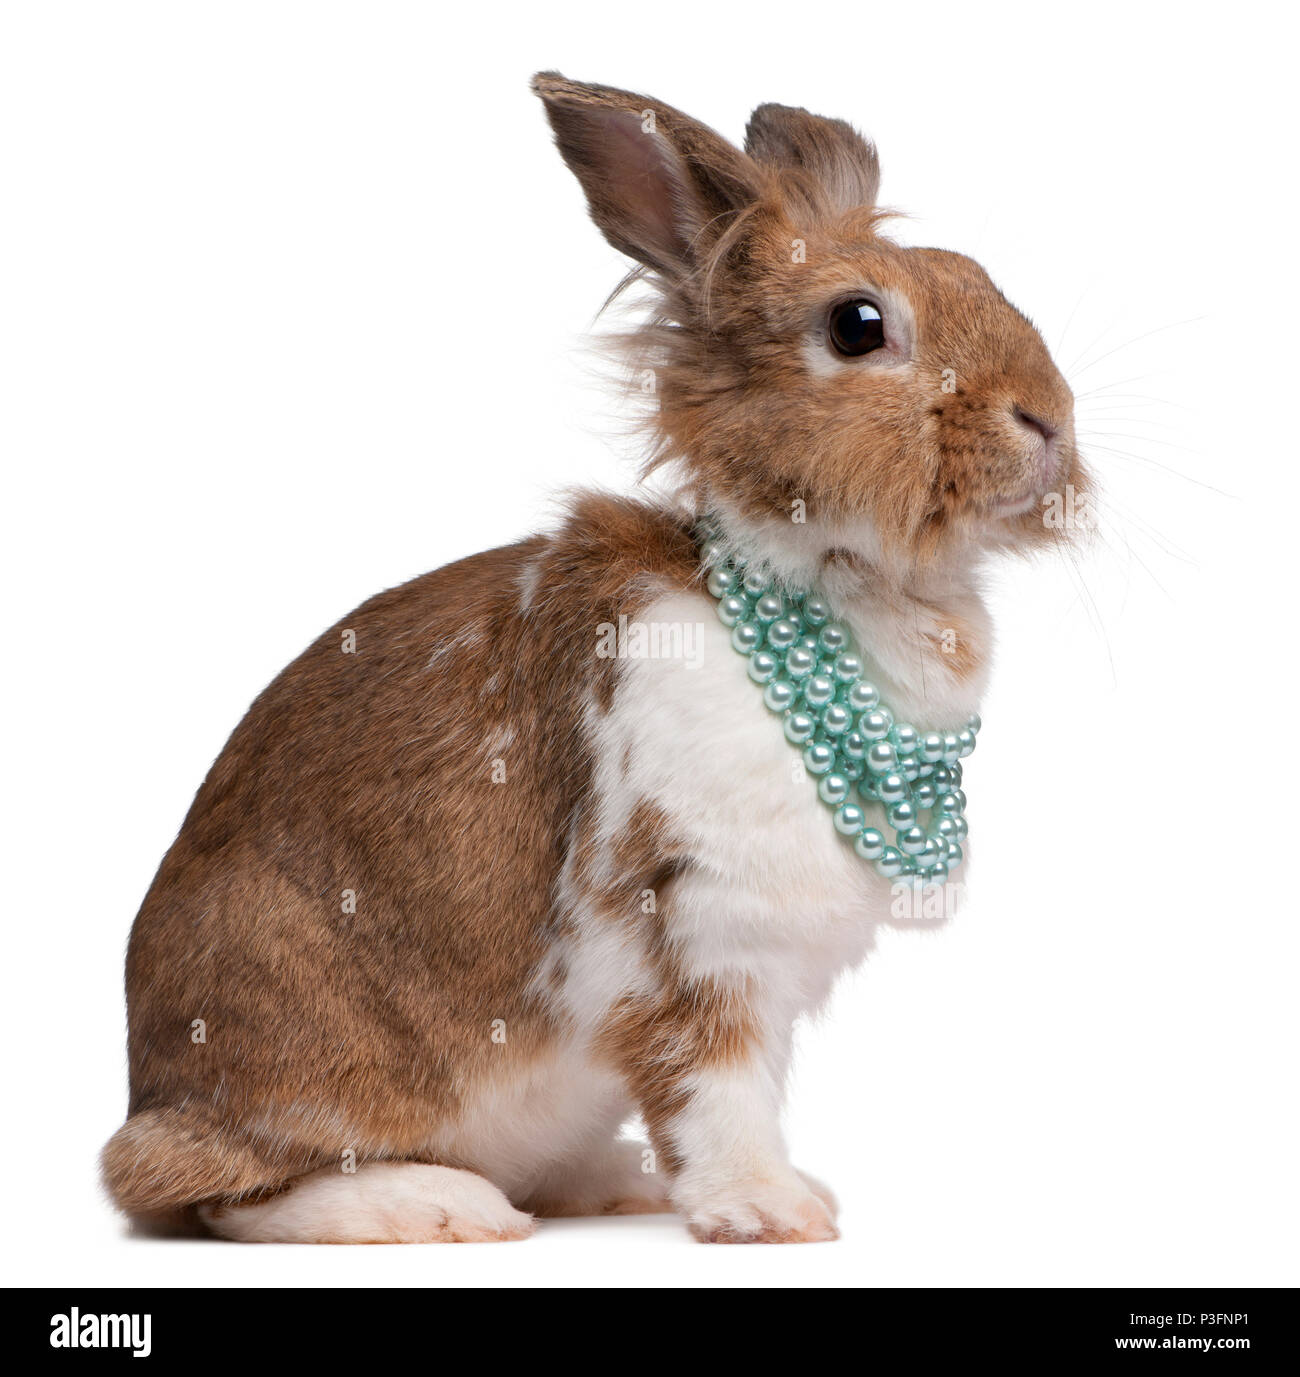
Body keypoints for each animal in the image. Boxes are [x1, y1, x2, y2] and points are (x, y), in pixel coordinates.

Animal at [101, 71, 1087, 1245]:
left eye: (984, 279)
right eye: (858, 326)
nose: (1049, 418)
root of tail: (149, 1093)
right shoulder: (686, 929)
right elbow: (714, 1086)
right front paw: (771, 1212)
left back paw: (601, 1180)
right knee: (218, 1191)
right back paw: (438, 1206)